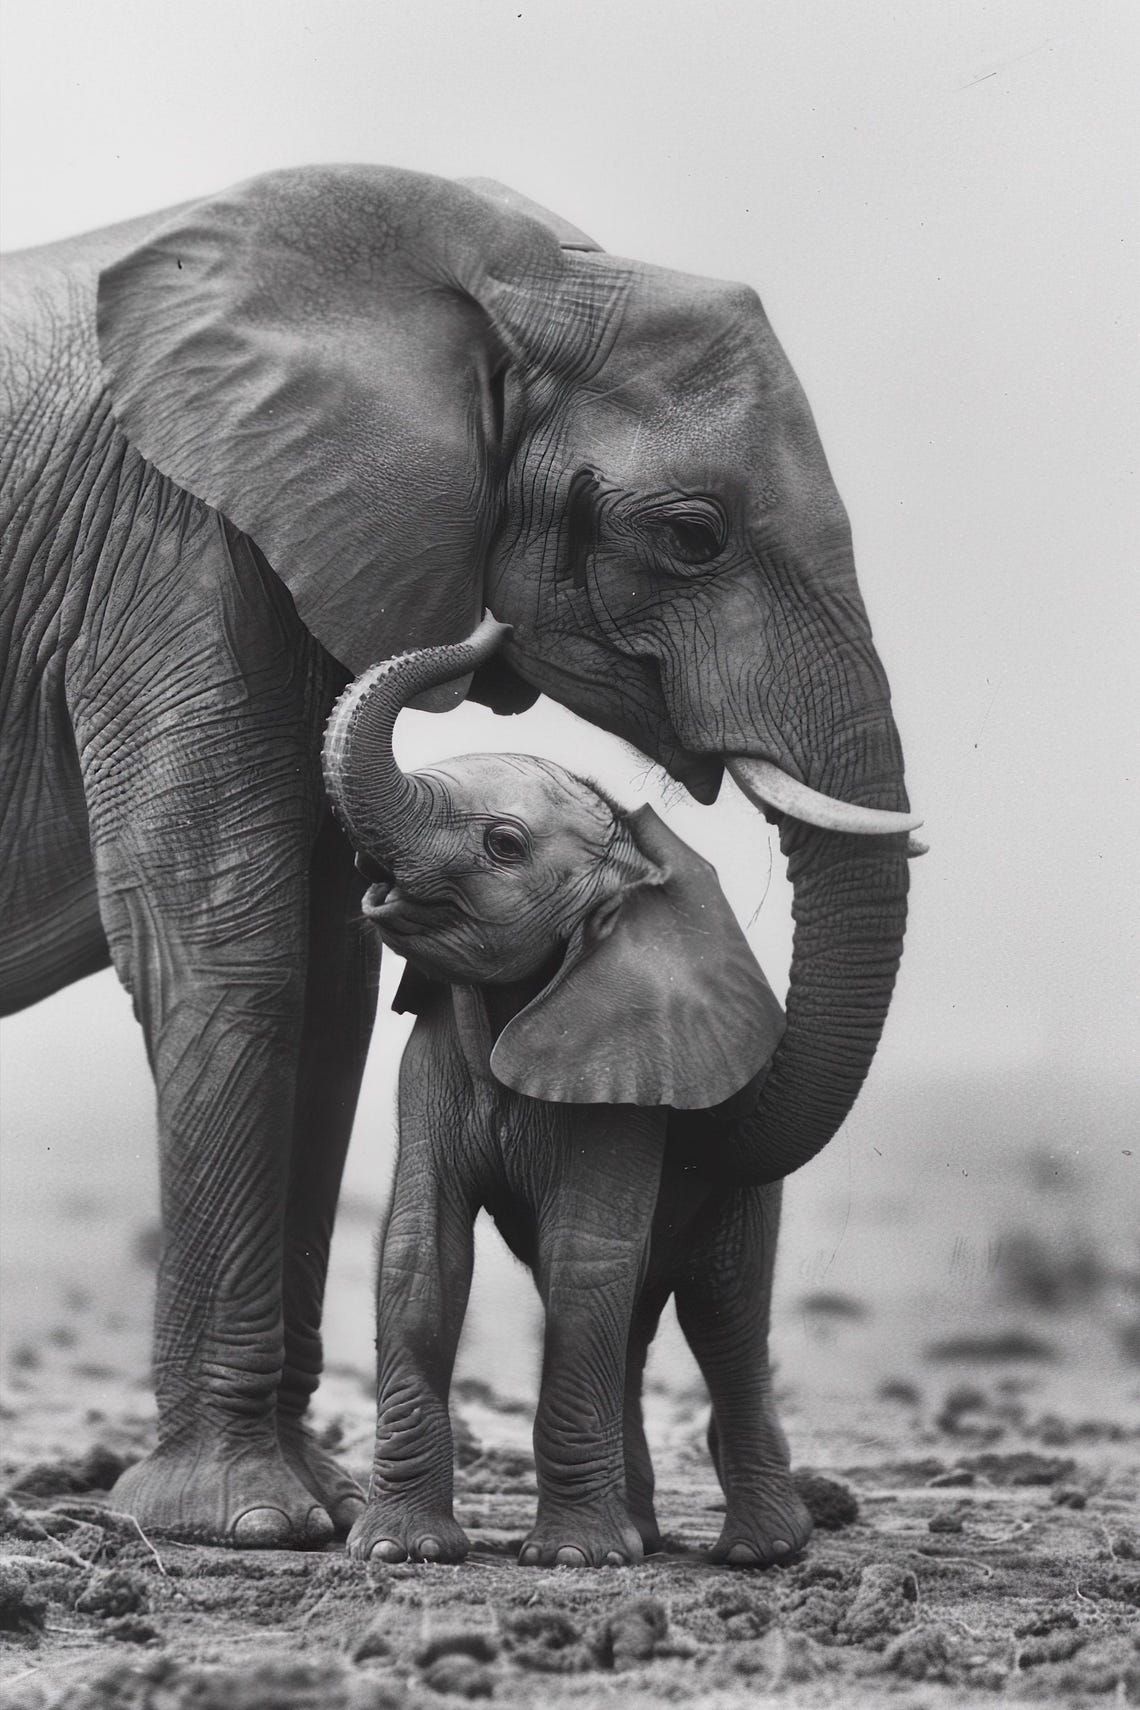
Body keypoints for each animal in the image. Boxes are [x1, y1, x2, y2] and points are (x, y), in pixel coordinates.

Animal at [322, 615, 805, 1568]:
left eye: (503, 846)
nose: (493, 626)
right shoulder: (434, 1051)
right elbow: (420, 1254)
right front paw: (399, 1551)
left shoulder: (623, 1064)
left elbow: (584, 1256)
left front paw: (575, 1560)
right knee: (633, 1320)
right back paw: (643, 1535)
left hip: (744, 1180)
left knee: (724, 1311)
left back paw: (761, 1550)